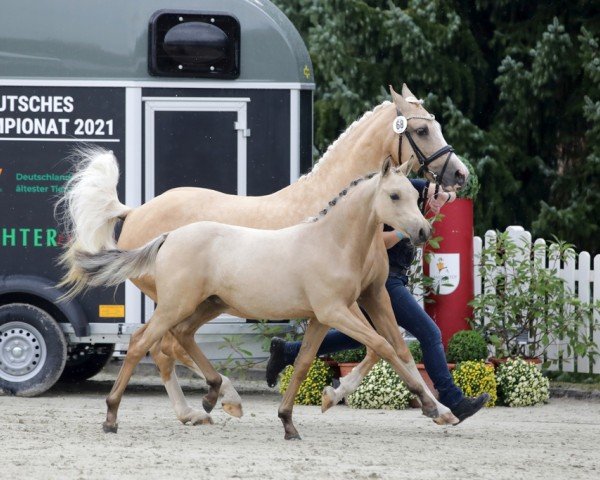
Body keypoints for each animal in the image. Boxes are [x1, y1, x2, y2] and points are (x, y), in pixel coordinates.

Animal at [68, 159, 458, 436]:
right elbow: (384, 346)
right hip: (176, 305)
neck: (332, 242)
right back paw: (113, 416)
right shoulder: (336, 311)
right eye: (394, 196)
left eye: (415, 196)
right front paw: (429, 405)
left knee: (179, 338)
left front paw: (289, 422)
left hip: (207, 305)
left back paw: (214, 395)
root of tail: (168, 237)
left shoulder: (326, 315)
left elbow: (305, 363)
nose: (423, 231)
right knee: (141, 343)